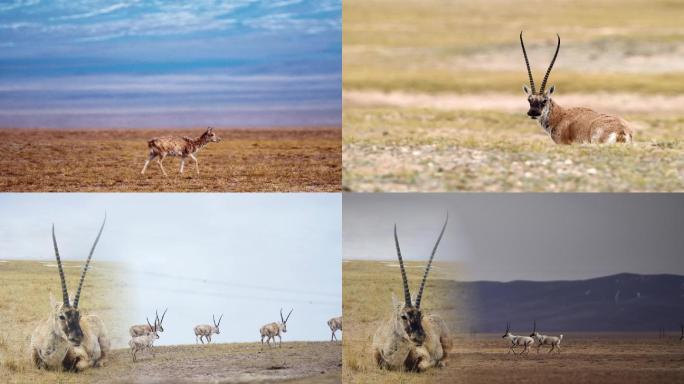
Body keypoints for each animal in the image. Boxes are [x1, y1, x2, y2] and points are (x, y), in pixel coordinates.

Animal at [30, 218, 109, 370]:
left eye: (79, 315)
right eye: (61, 316)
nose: (77, 338)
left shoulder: (82, 358)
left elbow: (75, 367)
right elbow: (39, 365)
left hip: (104, 341)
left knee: (105, 355)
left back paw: (100, 362)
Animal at [372, 214, 452, 370]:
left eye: (421, 315)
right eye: (403, 316)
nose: (420, 337)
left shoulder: (423, 357)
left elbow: (418, 367)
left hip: (447, 343)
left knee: (446, 356)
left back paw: (442, 363)